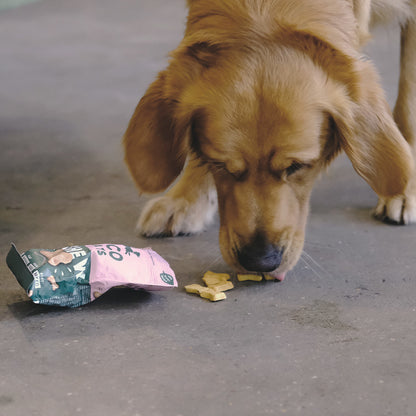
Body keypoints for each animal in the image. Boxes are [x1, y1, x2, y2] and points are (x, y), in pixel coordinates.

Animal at [123, 0, 416, 280]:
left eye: (297, 166)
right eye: (220, 165)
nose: (259, 260)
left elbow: (408, 105)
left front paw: (407, 188)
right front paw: (186, 199)